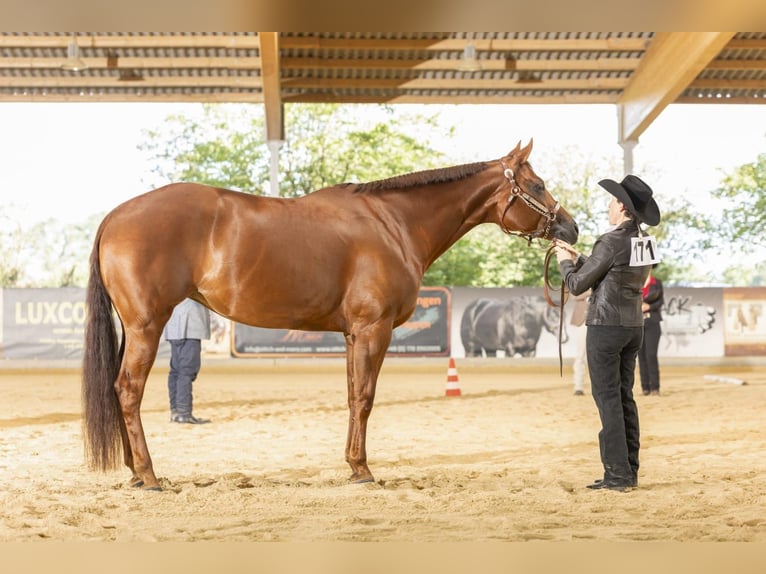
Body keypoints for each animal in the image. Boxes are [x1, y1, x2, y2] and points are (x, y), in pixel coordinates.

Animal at [82, 141, 576, 490]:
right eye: (536, 185)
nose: (570, 228)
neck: (394, 223)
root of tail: (116, 216)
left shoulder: (352, 335)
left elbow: (352, 396)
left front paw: (352, 465)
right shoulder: (373, 329)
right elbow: (366, 398)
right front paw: (363, 470)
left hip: (133, 328)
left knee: (119, 389)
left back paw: (133, 471)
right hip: (147, 326)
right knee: (128, 390)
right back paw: (149, 475)